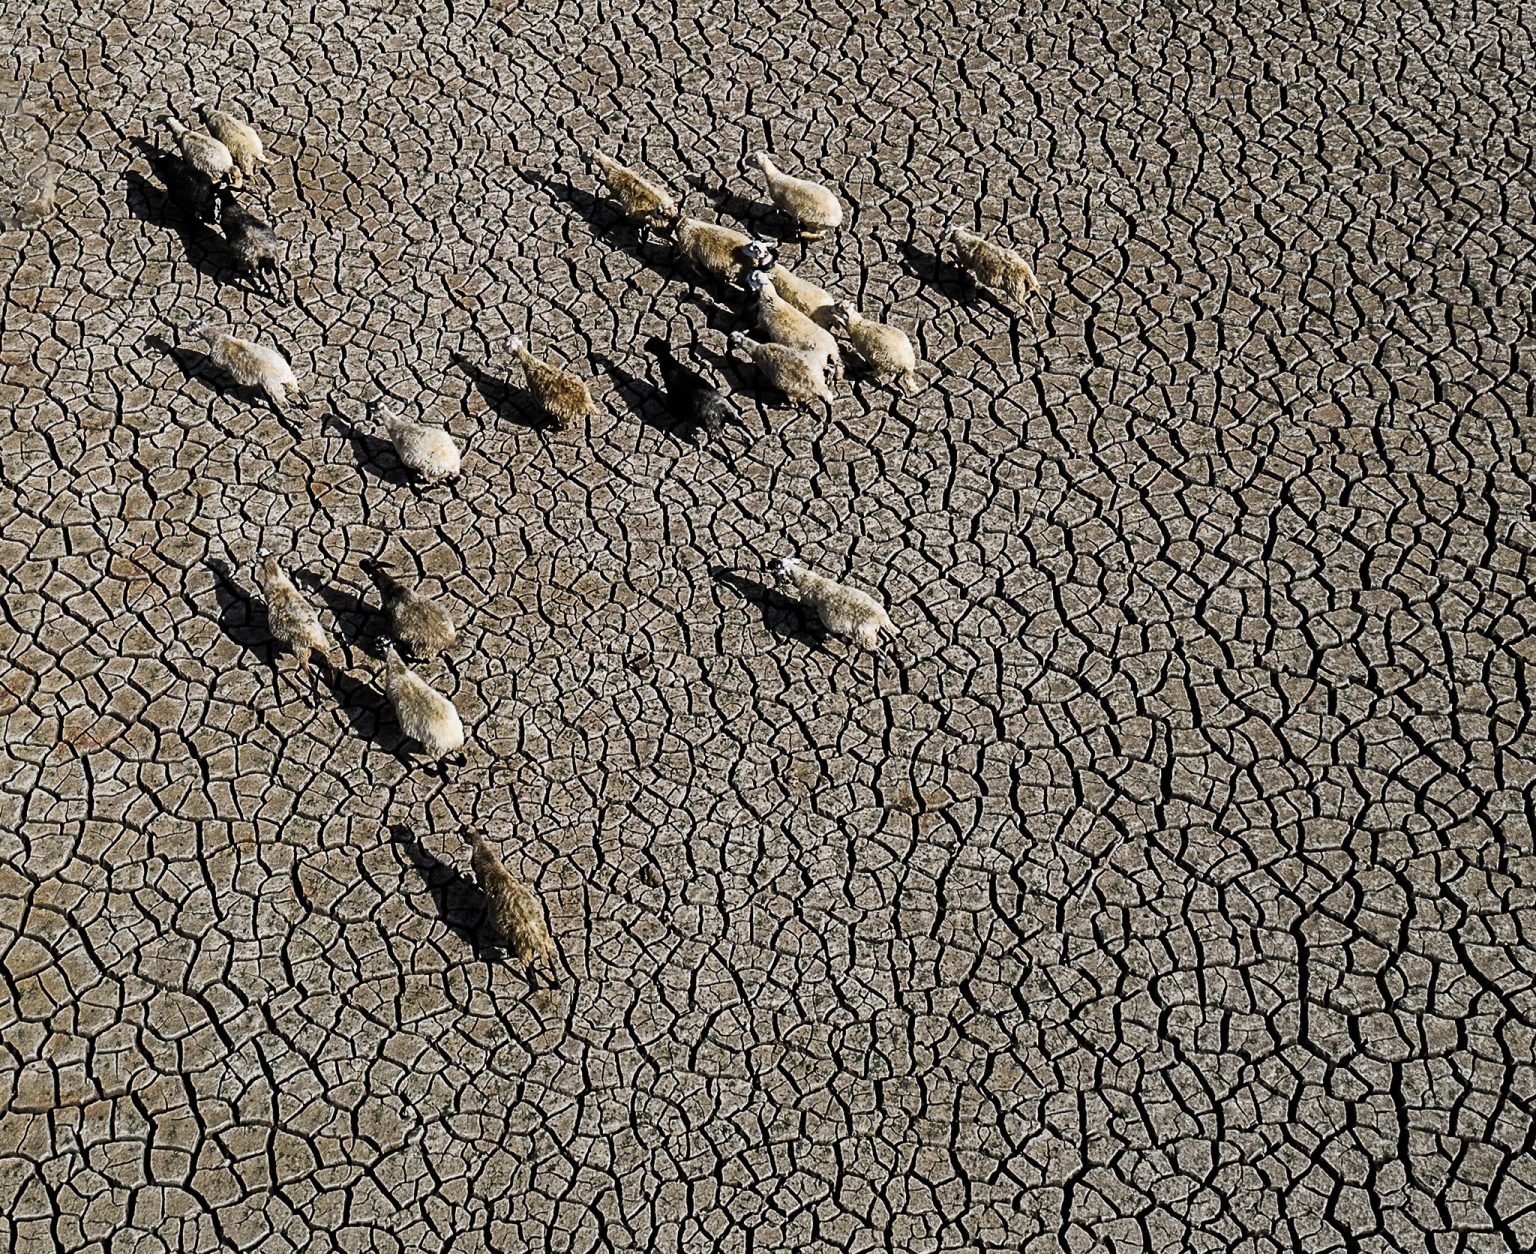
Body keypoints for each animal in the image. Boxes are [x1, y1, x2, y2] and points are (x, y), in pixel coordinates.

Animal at [252, 548, 339, 678]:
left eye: (259, 553)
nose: (254, 556)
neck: (275, 576)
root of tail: (312, 639)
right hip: (322, 641)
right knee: (329, 660)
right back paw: (332, 677)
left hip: (300, 650)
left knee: (307, 670)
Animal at [461, 824, 558, 984]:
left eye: (464, 832)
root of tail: (535, 937)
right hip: (546, 941)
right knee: (552, 962)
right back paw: (557, 983)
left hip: (524, 948)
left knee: (529, 968)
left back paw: (534, 984)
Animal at [770, 556, 899, 650]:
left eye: (777, 565)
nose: (770, 562)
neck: (806, 579)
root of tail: (880, 617)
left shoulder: (808, 601)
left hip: (865, 636)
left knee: (875, 649)